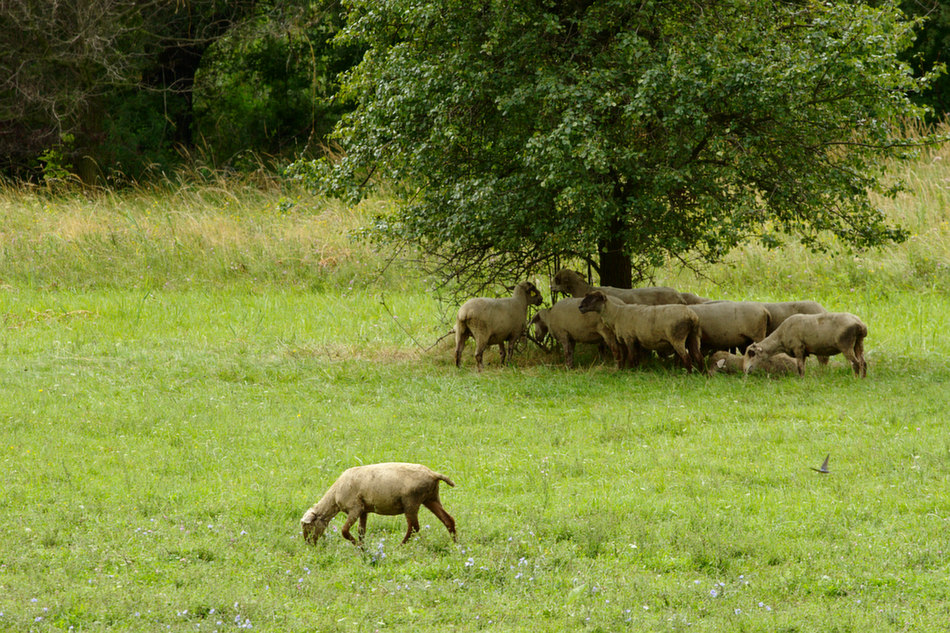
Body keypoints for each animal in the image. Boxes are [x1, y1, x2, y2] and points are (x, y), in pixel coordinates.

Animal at [302, 462, 458, 544]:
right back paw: (456, 544)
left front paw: (357, 545)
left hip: (411, 502)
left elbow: (344, 531)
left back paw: (400, 547)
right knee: (448, 520)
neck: (334, 497)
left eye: (308, 527)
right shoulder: (363, 511)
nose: (309, 544)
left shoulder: (355, 508)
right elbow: (361, 531)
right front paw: (363, 548)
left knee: (414, 527)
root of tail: (433, 474)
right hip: (431, 498)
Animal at [576, 290, 704, 372]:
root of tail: (692, 317)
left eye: (594, 299)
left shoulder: (629, 338)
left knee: (686, 357)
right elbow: (628, 356)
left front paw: (630, 371)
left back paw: (688, 374)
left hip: (677, 337)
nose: (580, 307)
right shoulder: (628, 340)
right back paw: (702, 374)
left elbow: (631, 356)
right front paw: (625, 370)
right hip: (694, 335)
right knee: (698, 356)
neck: (616, 315)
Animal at [744, 312, 872, 376]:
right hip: (858, 342)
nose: (745, 370)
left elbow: (800, 368)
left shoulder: (798, 348)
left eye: (751, 354)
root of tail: (860, 324)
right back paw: (863, 378)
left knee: (855, 363)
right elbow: (803, 368)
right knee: (863, 362)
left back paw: (855, 379)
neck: (780, 337)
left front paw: (801, 380)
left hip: (846, 344)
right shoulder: (804, 352)